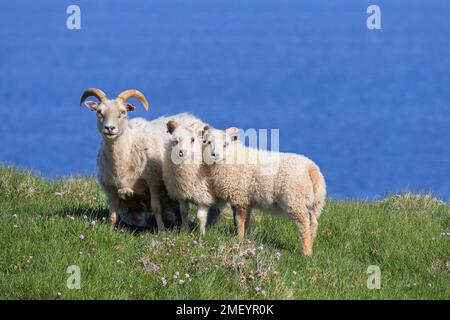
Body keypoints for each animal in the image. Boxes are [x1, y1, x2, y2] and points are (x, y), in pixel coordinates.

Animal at [80, 87, 199, 230]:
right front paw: (109, 230)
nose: (109, 128)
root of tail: (191, 116)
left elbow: (156, 208)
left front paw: (161, 230)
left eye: (123, 112)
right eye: (99, 112)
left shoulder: (154, 182)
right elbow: (112, 214)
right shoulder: (110, 188)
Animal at [202, 126, 326, 256]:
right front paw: (247, 237)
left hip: (295, 200)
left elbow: (239, 220)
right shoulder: (246, 199)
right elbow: (246, 221)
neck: (233, 156)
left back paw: (306, 252)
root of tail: (311, 169)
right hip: (315, 204)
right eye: (208, 142)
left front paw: (239, 238)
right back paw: (311, 244)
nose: (214, 154)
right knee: (313, 223)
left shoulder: (240, 196)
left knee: (304, 225)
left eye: (225, 144)